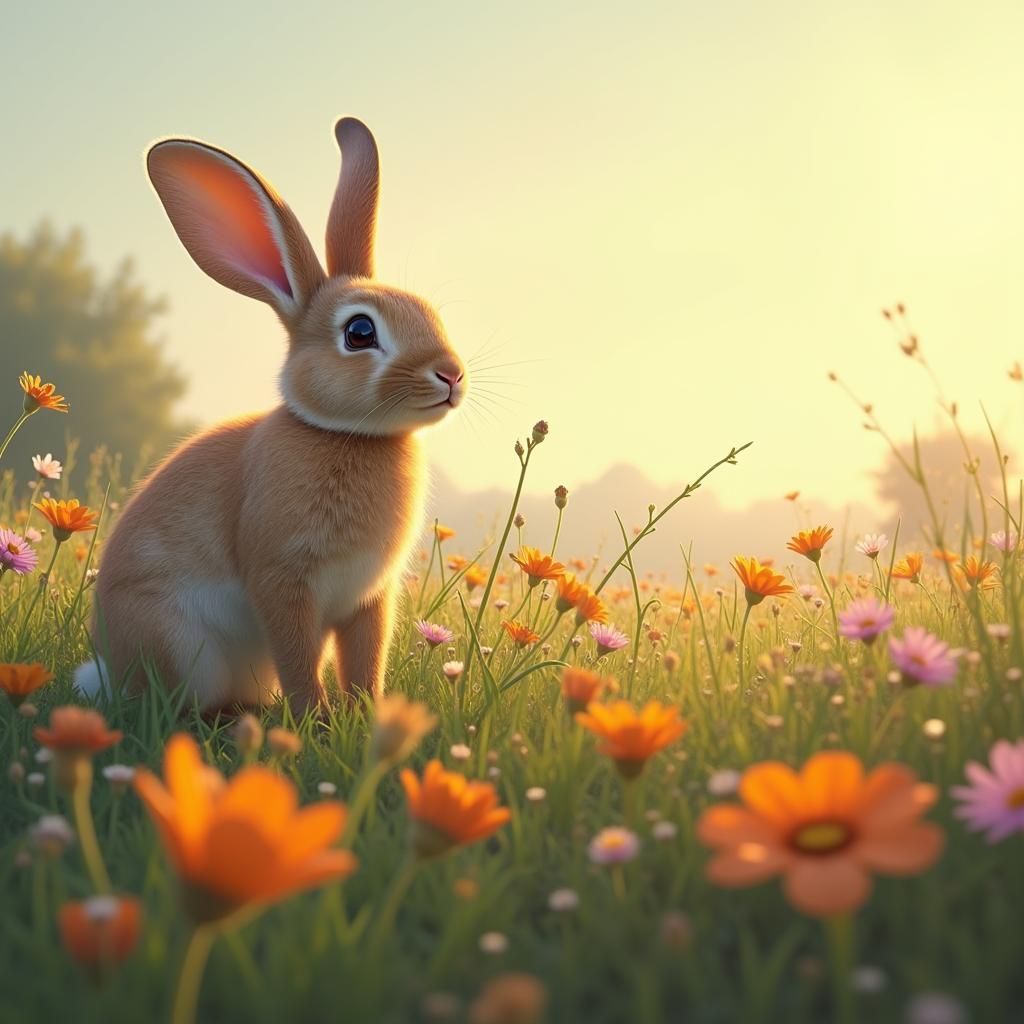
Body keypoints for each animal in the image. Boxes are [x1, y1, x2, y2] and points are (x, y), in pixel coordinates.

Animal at [74, 117, 466, 714]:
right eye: (359, 332)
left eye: (430, 314)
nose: (451, 374)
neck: (348, 434)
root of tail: (112, 673)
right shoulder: (283, 582)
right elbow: (300, 658)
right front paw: (317, 719)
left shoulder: (368, 599)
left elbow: (365, 661)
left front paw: (364, 714)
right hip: (177, 642)